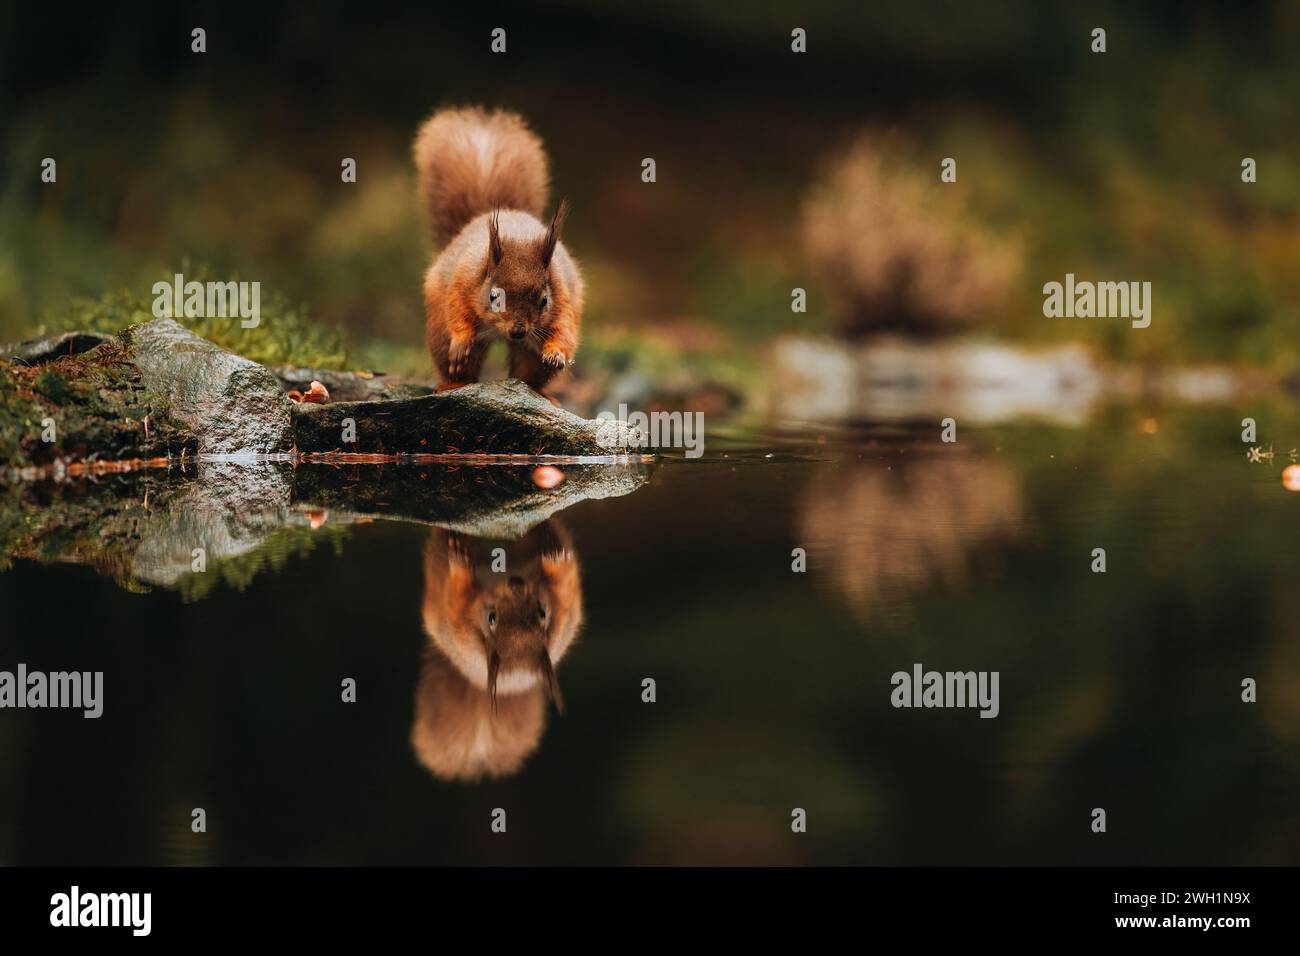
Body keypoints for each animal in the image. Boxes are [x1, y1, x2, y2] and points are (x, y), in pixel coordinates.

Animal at [413, 108, 582, 395]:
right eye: (493, 297)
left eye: (544, 301)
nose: (518, 332)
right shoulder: (463, 279)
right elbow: (456, 308)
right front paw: (461, 340)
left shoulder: (563, 296)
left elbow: (564, 329)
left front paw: (556, 355)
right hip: (439, 332)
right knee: (455, 358)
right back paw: (455, 382)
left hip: (530, 353)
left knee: (529, 370)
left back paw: (540, 393)